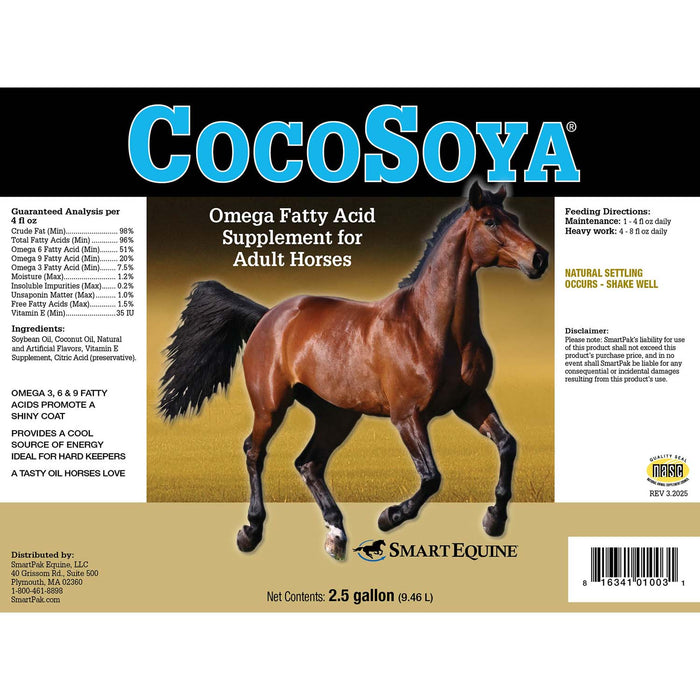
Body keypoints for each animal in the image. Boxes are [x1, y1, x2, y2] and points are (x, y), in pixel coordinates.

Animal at [159, 182, 549, 560]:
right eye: (490, 222)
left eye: (514, 218)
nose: (539, 258)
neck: (430, 327)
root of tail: (269, 316)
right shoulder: (407, 416)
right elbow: (431, 477)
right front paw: (389, 516)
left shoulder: (471, 402)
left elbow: (507, 445)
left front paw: (494, 520)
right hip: (271, 406)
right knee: (255, 452)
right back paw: (251, 533)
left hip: (337, 415)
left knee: (309, 463)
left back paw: (336, 534)